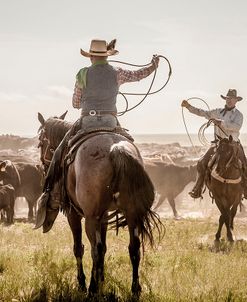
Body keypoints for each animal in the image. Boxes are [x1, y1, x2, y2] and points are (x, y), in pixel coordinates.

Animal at [37, 112, 163, 294]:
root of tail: (116, 149)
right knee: (134, 248)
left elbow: (79, 247)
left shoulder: (73, 214)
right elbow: (104, 247)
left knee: (94, 249)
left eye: (41, 142)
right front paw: (101, 279)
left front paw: (83, 283)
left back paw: (92, 289)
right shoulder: (104, 217)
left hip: (91, 218)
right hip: (132, 215)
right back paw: (135, 289)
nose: (43, 167)